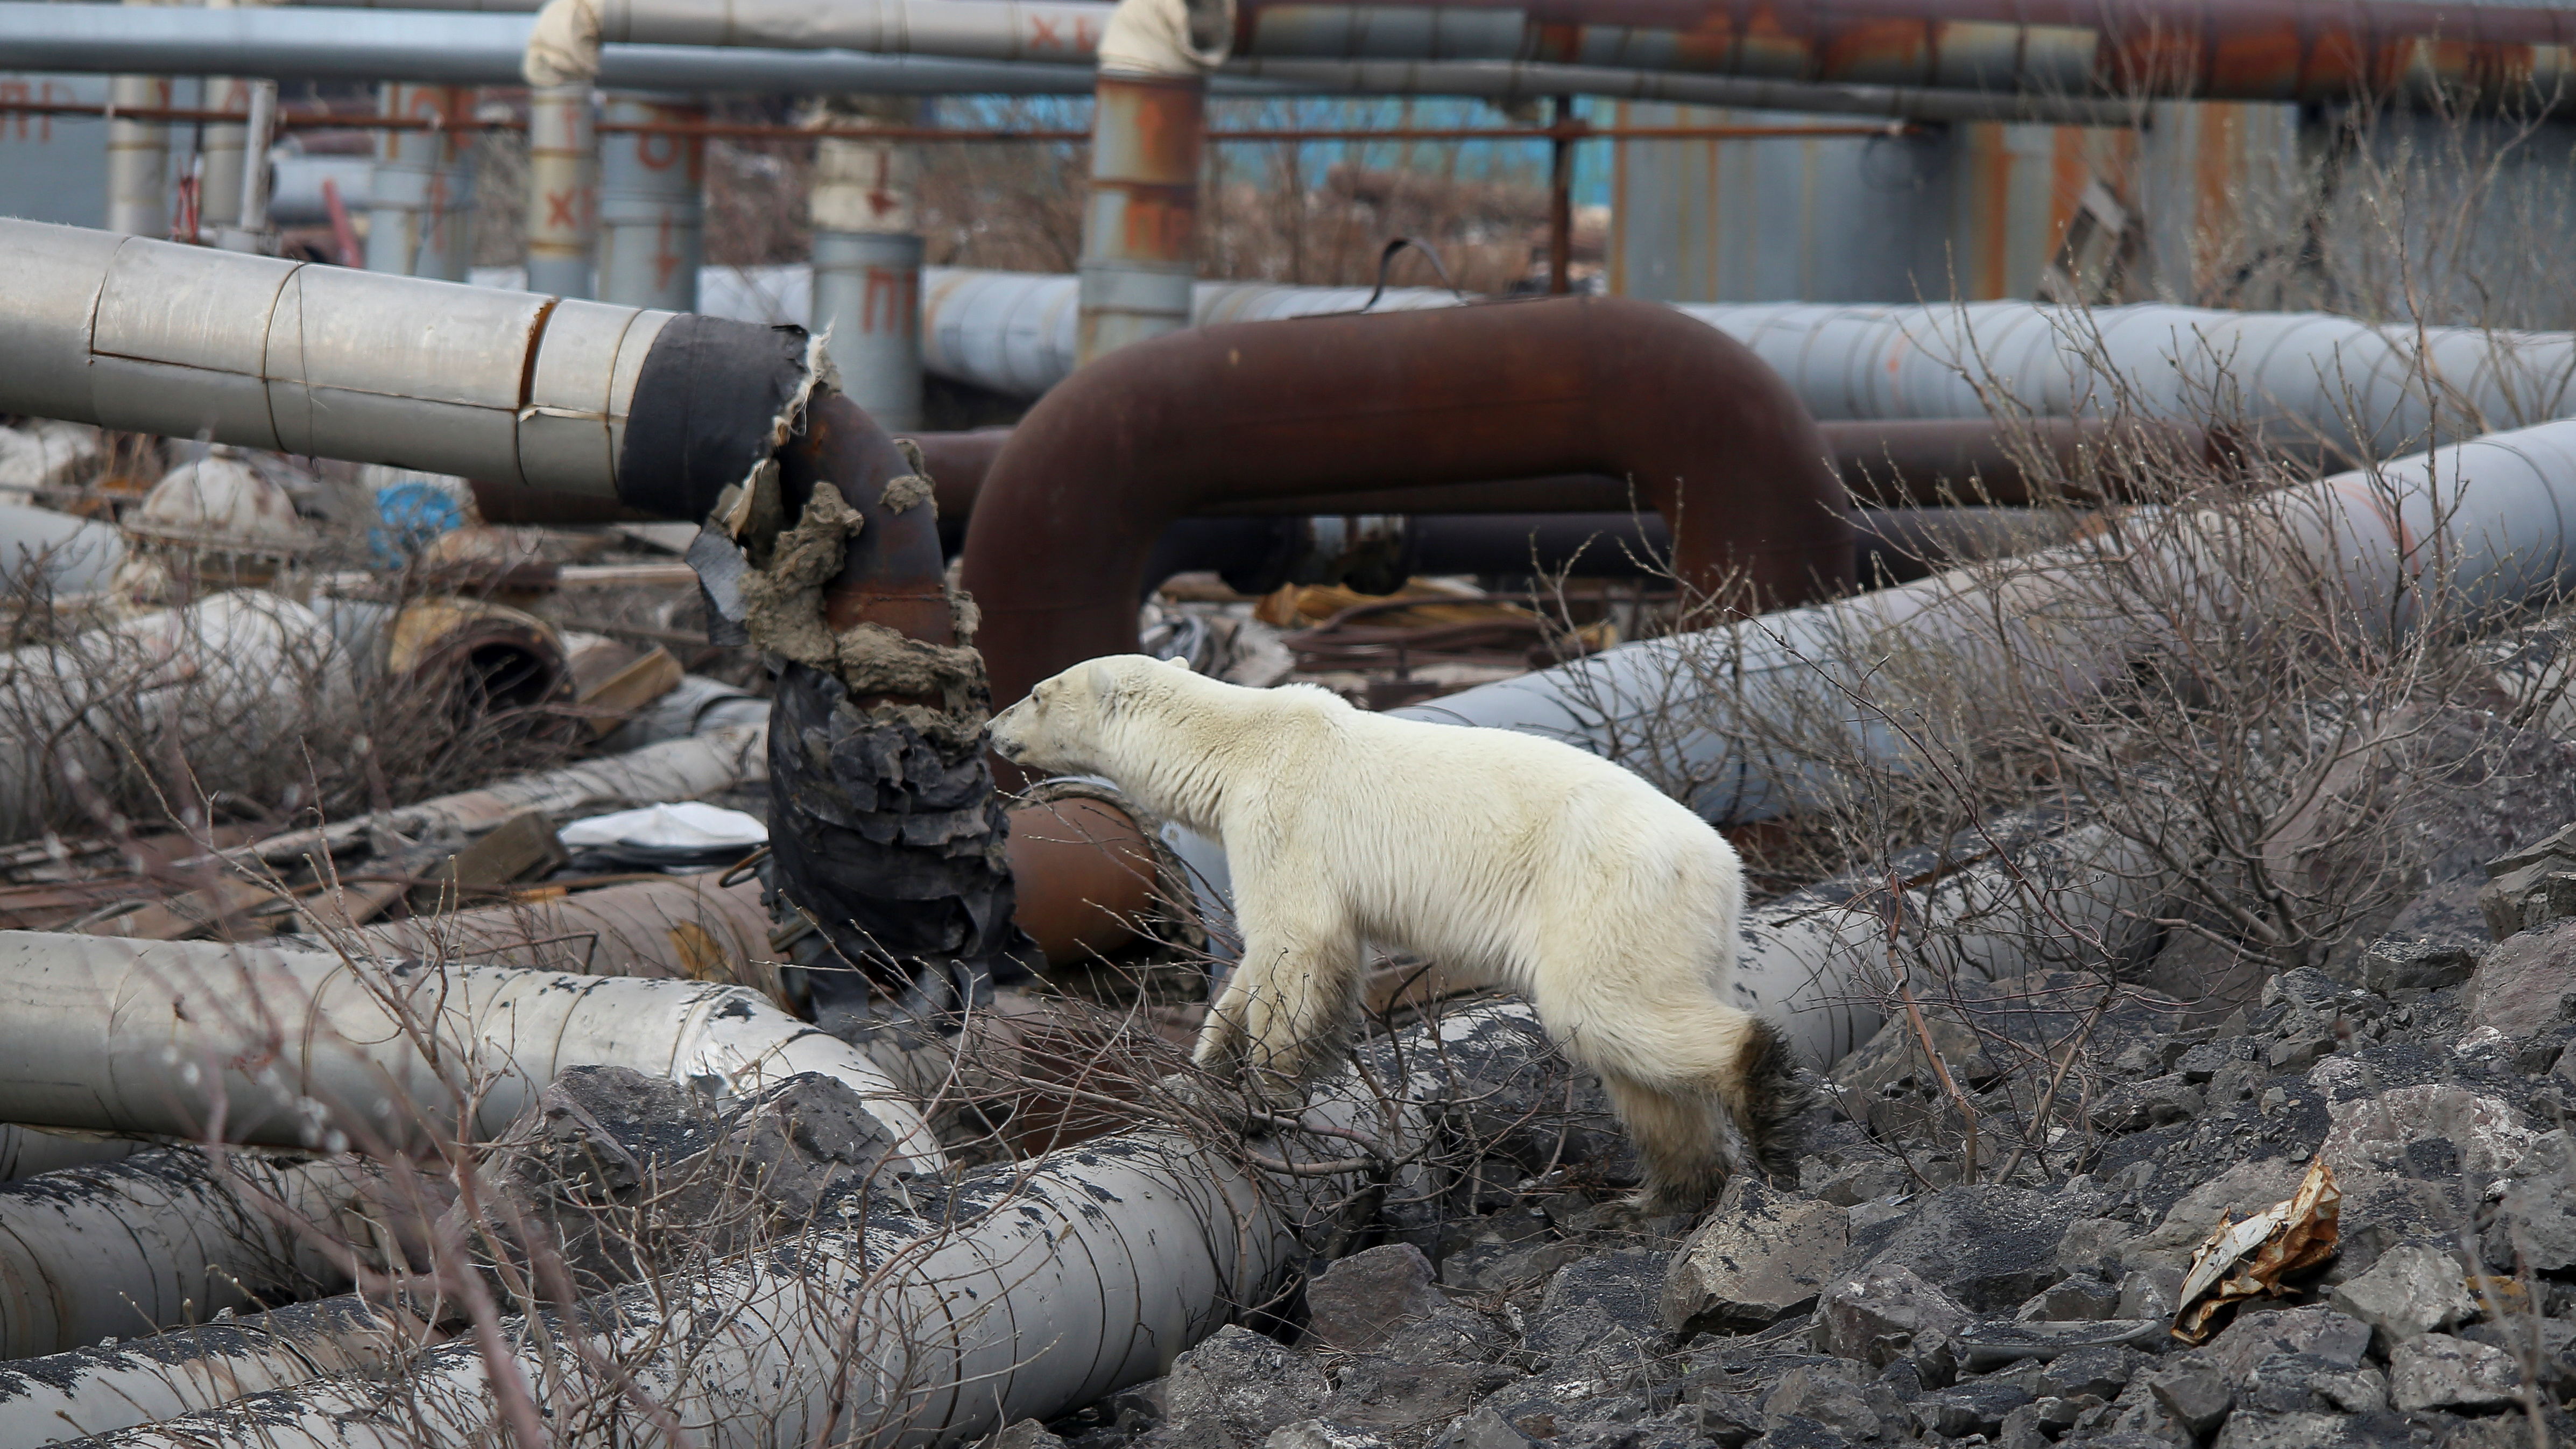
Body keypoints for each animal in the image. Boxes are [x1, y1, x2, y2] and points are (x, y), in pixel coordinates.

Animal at [987, 654, 1804, 1210]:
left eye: (1037, 691)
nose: (991, 727)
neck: (1239, 740)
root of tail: (1723, 867)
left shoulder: (1283, 816)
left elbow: (1296, 942)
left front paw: (1267, 1095)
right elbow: (1257, 966)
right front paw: (1197, 1076)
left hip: (1604, 899)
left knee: (1605, 1011)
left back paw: (1759, 1103)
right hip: (1666, 927)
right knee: (1639, 1065)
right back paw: (1663, 1194)